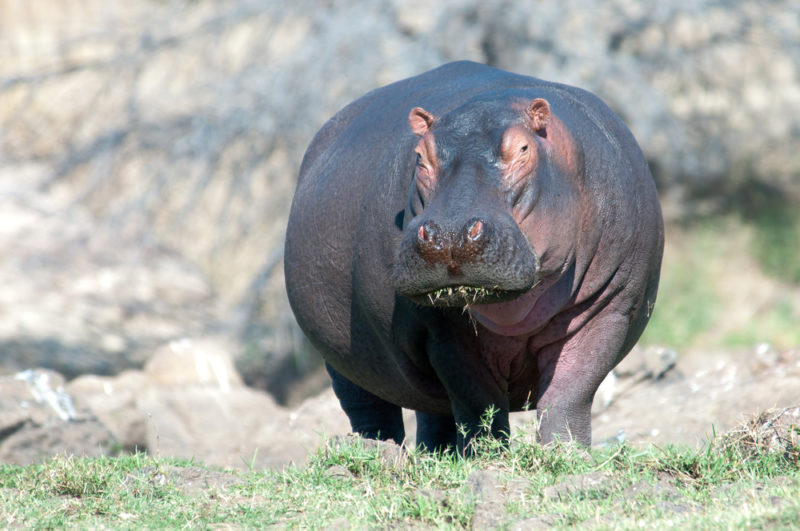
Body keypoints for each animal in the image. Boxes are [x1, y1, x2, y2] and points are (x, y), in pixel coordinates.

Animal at [284, 62, 664, 454]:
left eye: (523, 148)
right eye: (419, 156)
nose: (450, 234)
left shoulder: (610, 306)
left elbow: (571, 392)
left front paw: (565, 452)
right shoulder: (443, 332)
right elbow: (478, 401)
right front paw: (487, 455)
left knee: (431, 413)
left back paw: (435, 454)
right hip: (341, 357)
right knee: (370, 408)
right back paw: (377, 450)